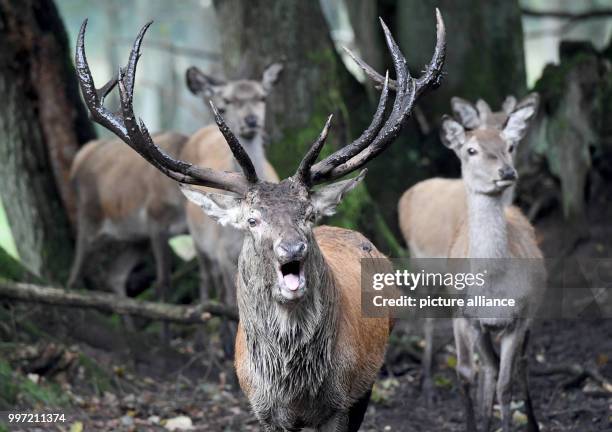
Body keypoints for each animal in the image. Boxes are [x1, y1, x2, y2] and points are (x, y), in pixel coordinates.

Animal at [76, 11, 448, 432]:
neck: (294, 386)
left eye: (309, 214)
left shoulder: (342, 401)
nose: (292, 247)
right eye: (253, 220)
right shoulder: (263, 409)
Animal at [440, 95, 544, 432]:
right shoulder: (470, 318)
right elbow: (474, 373)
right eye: (470, 150)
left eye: (509, 145)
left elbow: (505, 385)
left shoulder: (519, 316)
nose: (507, 172)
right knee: (486, 368)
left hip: (533, 311)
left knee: (520, 363)